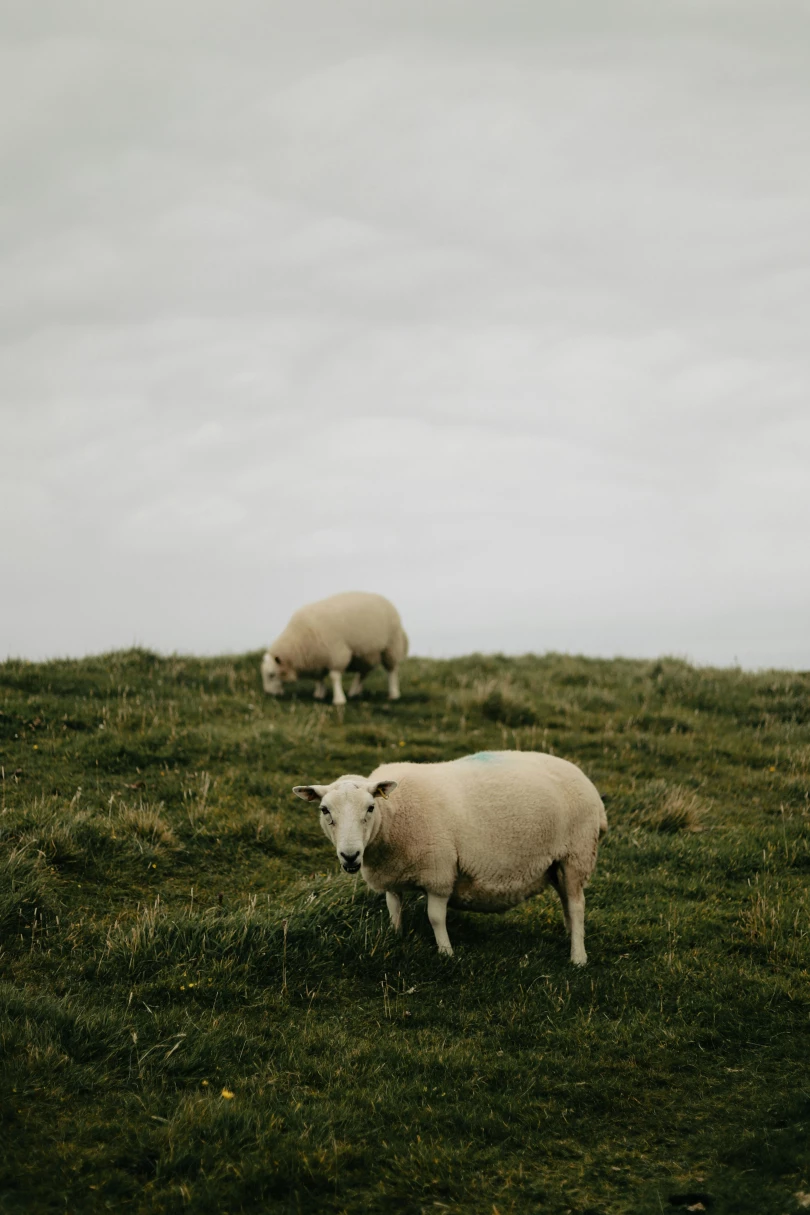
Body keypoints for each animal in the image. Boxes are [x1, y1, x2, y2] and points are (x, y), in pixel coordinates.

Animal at [263, 590, 408, 709]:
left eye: (272, 675)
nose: (268, 694)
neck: (298, 640)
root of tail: (382, 598)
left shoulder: (336, 653)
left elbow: (334, 677)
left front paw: (339, 699)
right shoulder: (316, 659)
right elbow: (318, 678)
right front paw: (319, 693)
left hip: (390, 646)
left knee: (392, 671)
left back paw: (393, 693)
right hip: (365, 653)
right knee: (363, 673)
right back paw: (354, 691)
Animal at [292, 743, 607, 962]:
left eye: (370, 807)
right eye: (325, 810)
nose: (349, 856)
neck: (393, 815)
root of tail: (586, 782)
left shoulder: (439, 873)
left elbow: (435, 917)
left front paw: (446, 953)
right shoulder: (392, 875)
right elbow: (394, 908)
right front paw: (396, 937)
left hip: (576, 853)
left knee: (577, 906)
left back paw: (578, 956)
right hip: (557, 863)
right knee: (567, 901)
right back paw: (570, 935)